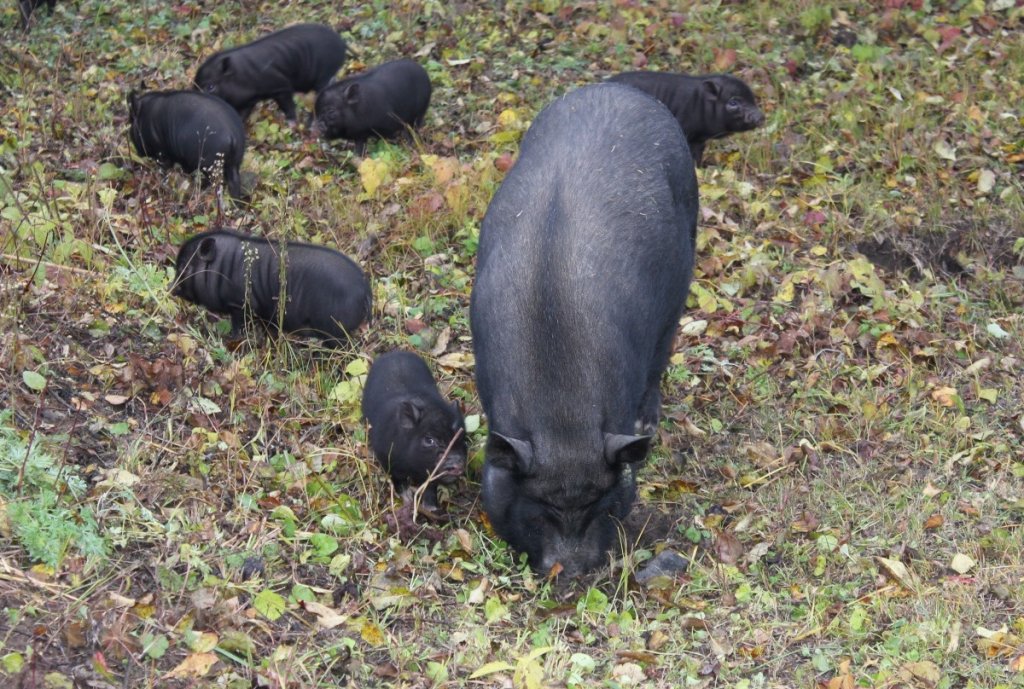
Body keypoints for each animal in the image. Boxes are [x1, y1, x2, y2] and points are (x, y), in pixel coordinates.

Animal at [173, 227, 372, 343]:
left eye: (183, 267)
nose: (171, 289)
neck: (221, 268)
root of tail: (365, 289)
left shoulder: (240, 304)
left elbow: (238, 325)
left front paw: (231, 340)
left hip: (336, 328)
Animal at [192, 23, 348, 120]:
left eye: (210, 87)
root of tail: (342, 43)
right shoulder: (248, 101)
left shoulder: (280, 86)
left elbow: (288, 106)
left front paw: (291, 123)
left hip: (323, 74)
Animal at [362, 352, 466, 507]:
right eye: (429, 440)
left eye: (461, 435)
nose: (457, 462)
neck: (412, 467)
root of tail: (395, 352)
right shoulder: (386, 457)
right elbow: (397, 479)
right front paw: (408, 499)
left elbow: (430, 485)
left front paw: (431, 507)